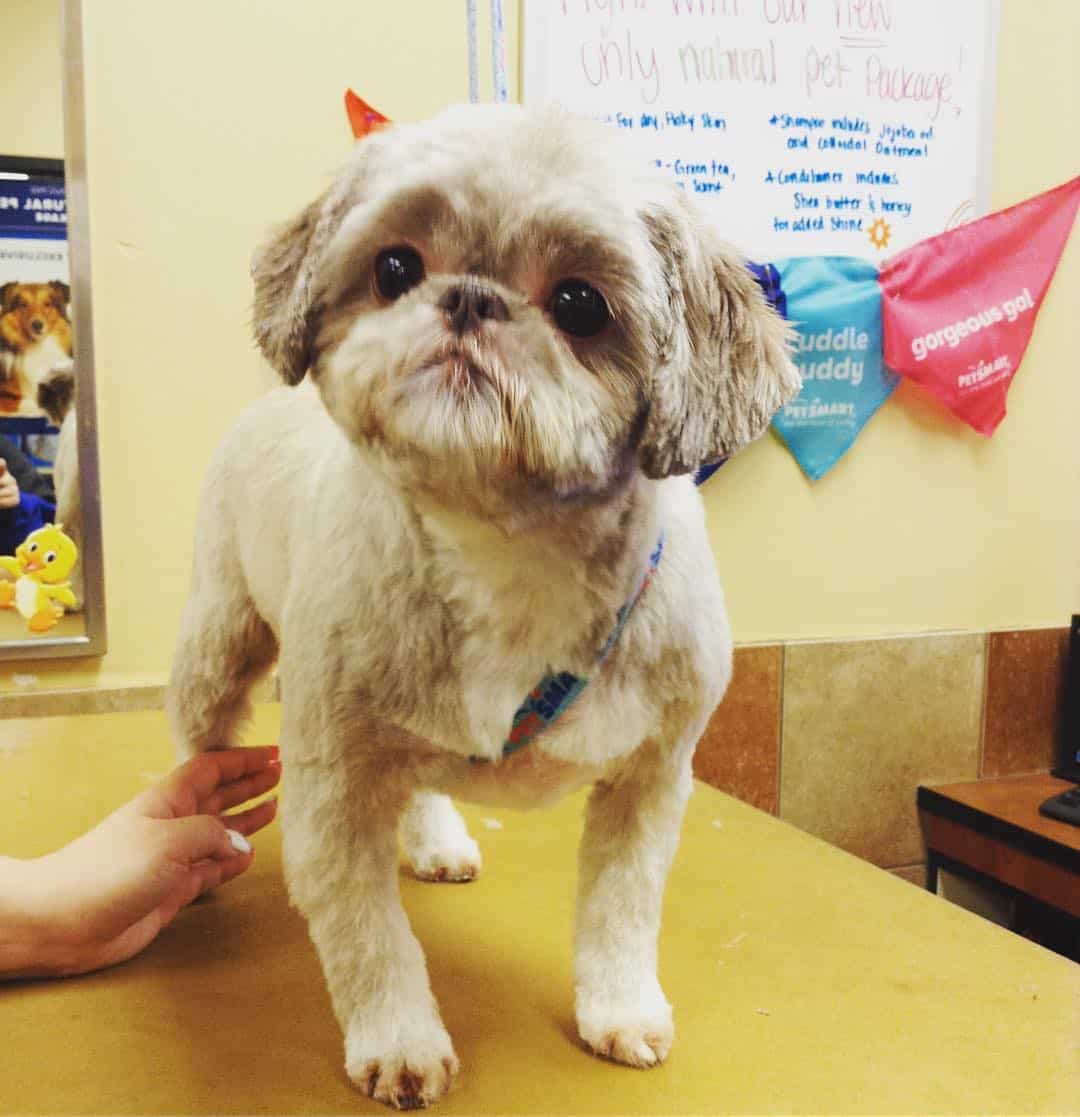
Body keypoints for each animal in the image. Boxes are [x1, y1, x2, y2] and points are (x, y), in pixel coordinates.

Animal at [166, 102, 795, 1108]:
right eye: (395, 268)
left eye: (580, 304)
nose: (467, 299)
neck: (510, 552)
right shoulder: (332, 781)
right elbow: (368, 936)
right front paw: (400, 1040)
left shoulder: (652, 774)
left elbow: (623, 908)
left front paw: (620, 1009)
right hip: (223, 633)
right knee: (199, 726)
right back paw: (202, 827)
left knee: (415, 777)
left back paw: (433, 836)